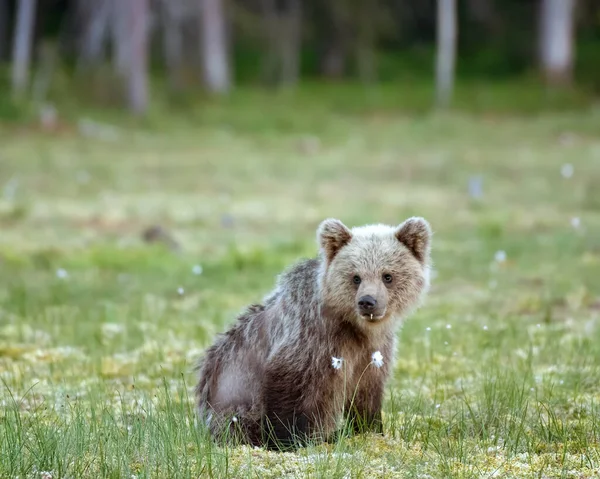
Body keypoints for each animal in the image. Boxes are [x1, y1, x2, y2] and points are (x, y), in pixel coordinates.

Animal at [195, 217, 434, 450]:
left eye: (387, 276)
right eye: (356, 277)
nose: (367, 302)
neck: (355, 328)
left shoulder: (373, 352)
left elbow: (365, 394)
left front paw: (369, 430)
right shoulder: (311, 337)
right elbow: (290, 388)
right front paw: (287, 440)